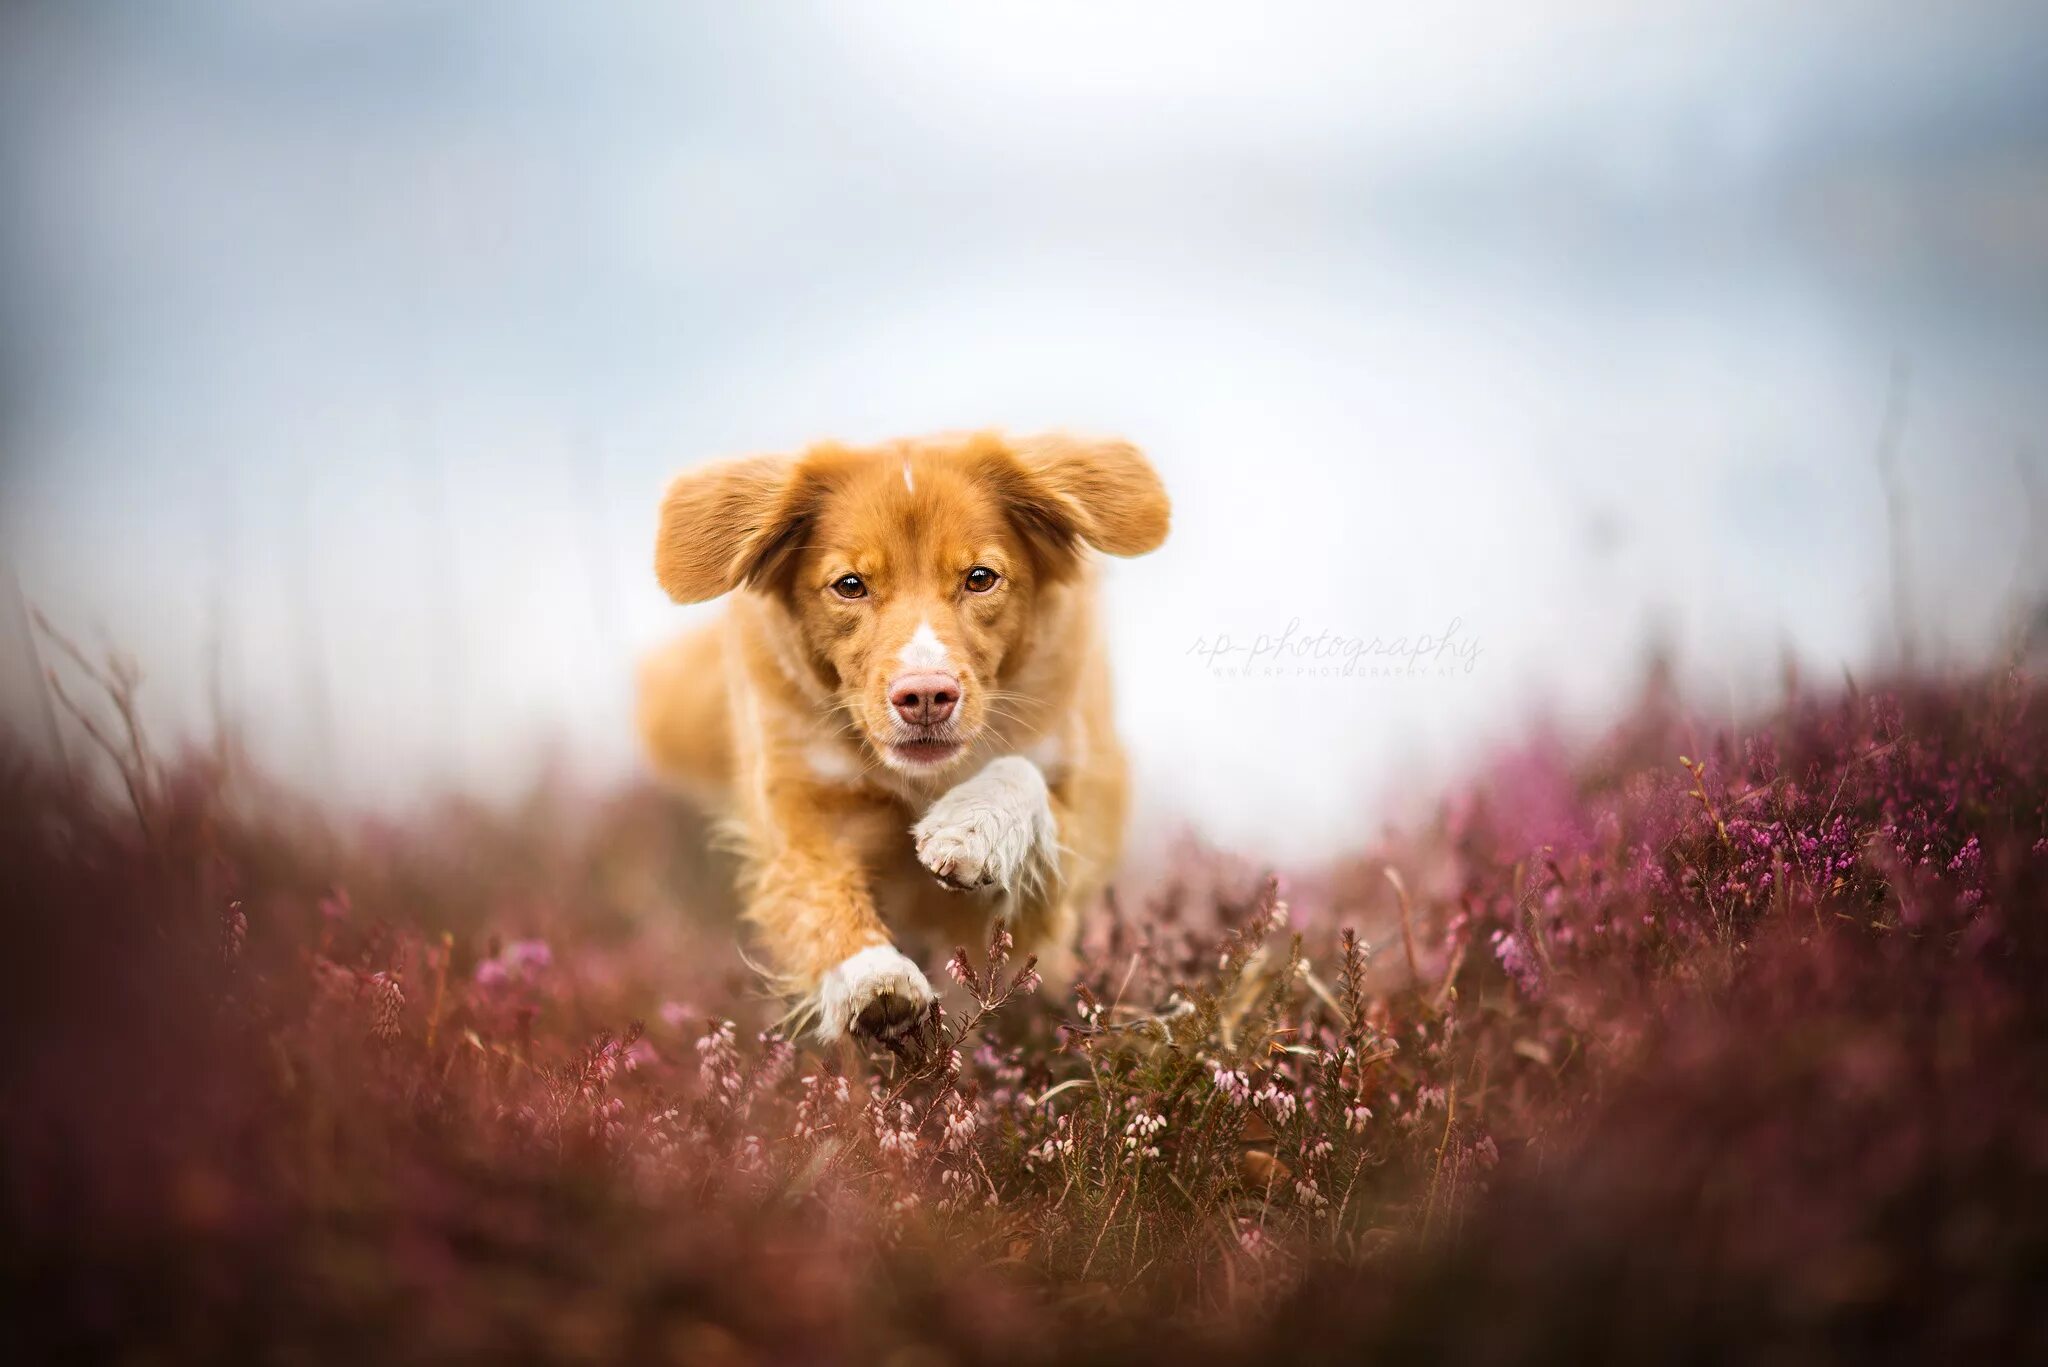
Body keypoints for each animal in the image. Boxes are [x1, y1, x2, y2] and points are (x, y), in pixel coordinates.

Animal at [634, 432, 1171, 1041]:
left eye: (980, 577)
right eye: (850, 585)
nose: (926, 696)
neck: (922, 779)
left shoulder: (1053, 885)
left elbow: (1020, 772)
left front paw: (970, 827)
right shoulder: (799, 803)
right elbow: (820, 899)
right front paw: (872, 978)